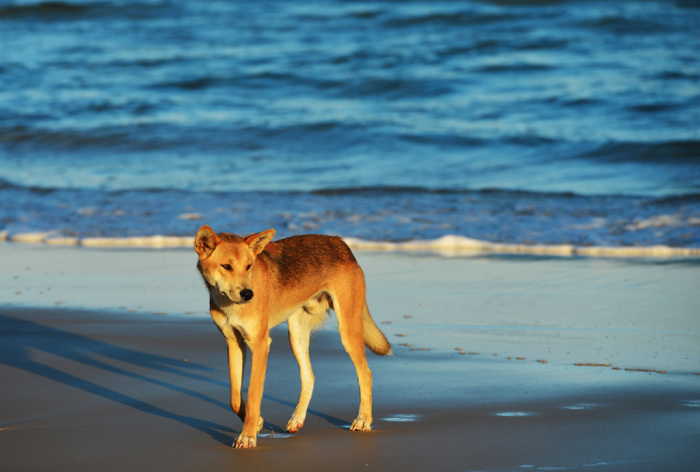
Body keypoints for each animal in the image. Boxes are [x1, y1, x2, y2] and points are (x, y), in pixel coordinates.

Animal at [194, 227, 392, 448]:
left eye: (248, 266)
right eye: (226, 266)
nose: (248, 294)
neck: (229, 306)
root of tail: (340, 243)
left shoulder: (260, 345)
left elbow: (253, 395)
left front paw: (248, 435)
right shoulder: (234, 343)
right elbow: (235, 399)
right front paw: (257, 423)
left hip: (347, 331)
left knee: (365, 373)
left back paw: (363, 419)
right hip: (296, 335)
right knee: (309, 376)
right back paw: (297, 419)